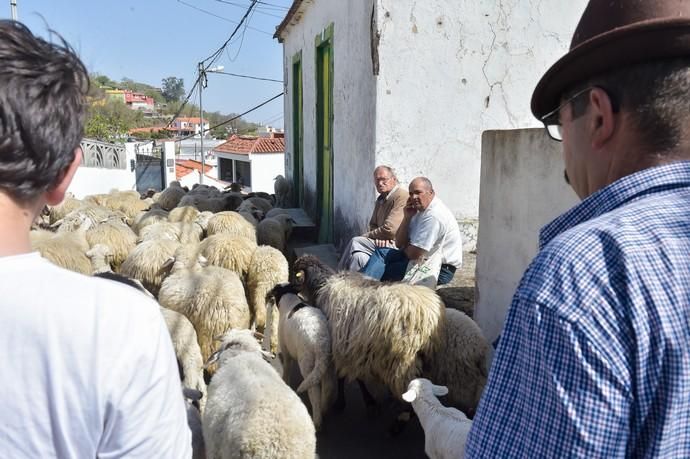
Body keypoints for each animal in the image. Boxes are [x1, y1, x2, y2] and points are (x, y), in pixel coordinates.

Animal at [270, 284, 334, 432]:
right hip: (326, 364)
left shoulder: (286, 353)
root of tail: (320, 341)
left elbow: (286, 371)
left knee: (314, 391)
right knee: (328, 386)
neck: (290, 298)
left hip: (307, 363)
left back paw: (317, 421)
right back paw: (324, 409)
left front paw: (285, 383)